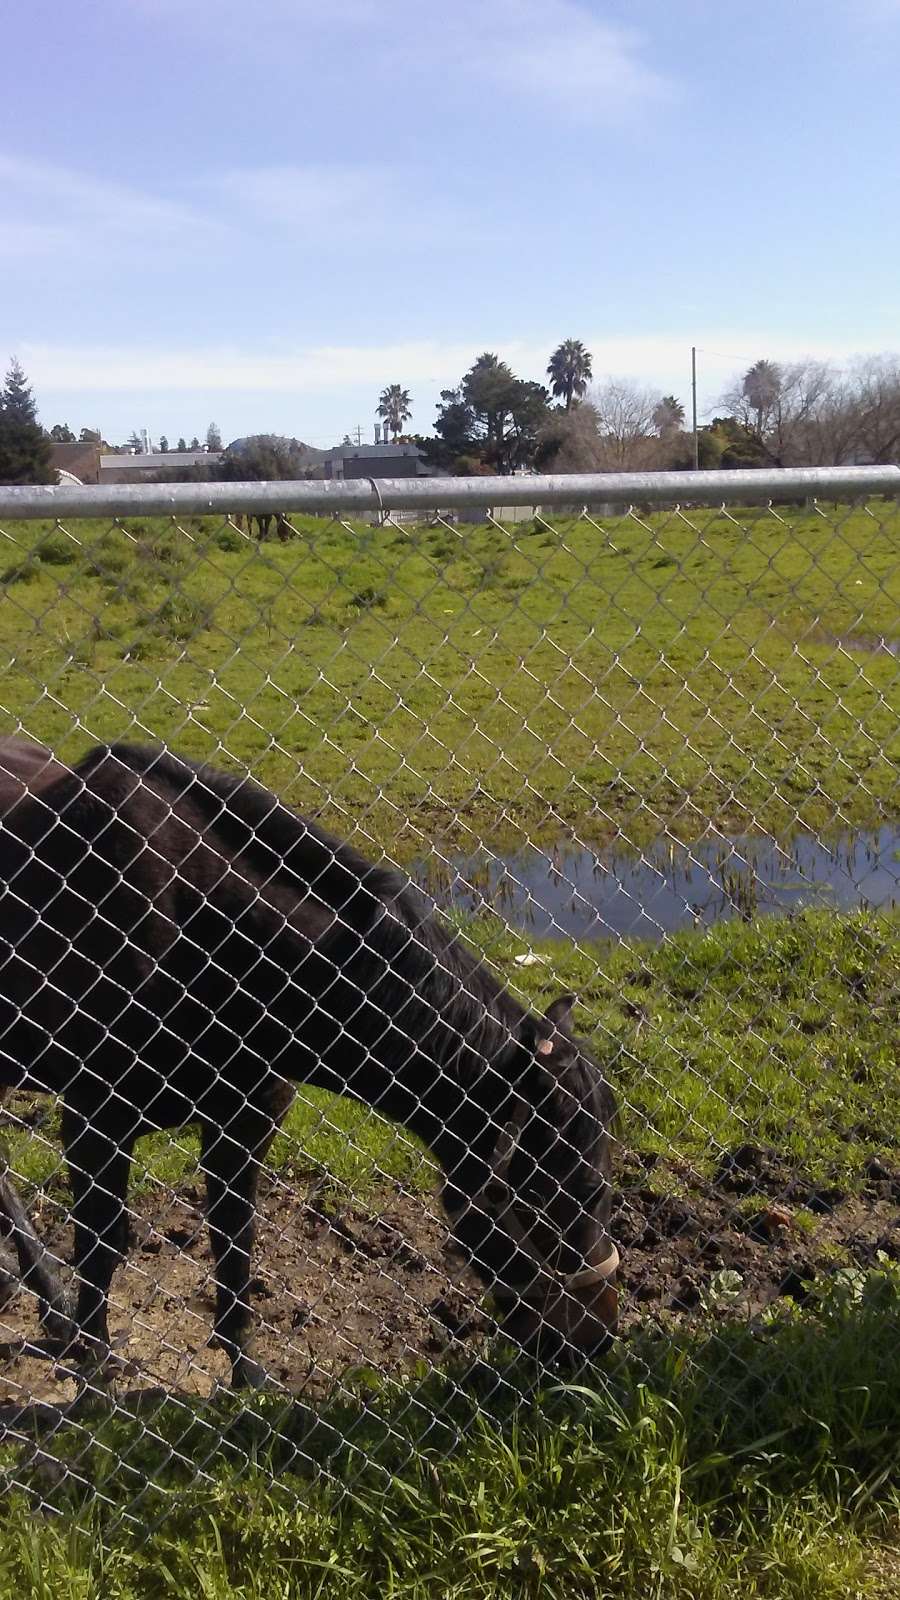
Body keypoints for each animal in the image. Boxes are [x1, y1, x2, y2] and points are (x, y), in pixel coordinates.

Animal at [0, 742, 614, 1382]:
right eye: (569, 1194)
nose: (598, 1341)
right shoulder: (94, 1122)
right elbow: (100, 1246)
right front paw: (93, 1370)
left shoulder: (247, 1121)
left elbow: (235, 1241)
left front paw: (245, 1376)